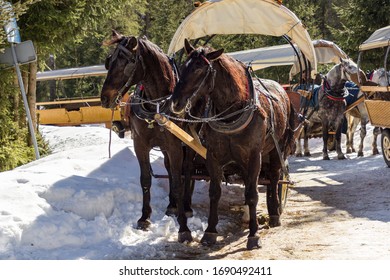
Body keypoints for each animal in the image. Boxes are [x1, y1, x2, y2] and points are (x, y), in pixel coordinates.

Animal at [100, 30, 190, 231]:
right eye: (109, 62)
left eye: (126, 63)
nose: (104, 98)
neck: (156, 105)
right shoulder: (140, 144)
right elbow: (145, 179)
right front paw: (144, 217)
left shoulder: (176, 146)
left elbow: (178, 179)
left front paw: (182, 220)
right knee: (168, 168)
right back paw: (172, 204)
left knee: (184, 172)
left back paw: (185, 206)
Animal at [171, 39, 296, 249]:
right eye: (182, 67)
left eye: (199, 69)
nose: (175, 102)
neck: (232, 114)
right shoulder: (213, 156)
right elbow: (215, 192)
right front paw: (210, 232)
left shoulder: (254, 156)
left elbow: (253, 194)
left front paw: (253, 235)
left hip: (276, 150)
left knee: (273, 178)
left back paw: (274, 214)